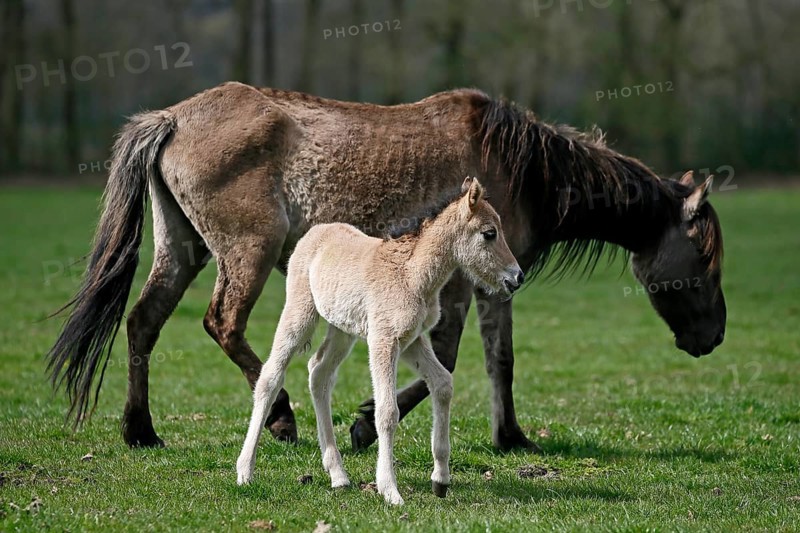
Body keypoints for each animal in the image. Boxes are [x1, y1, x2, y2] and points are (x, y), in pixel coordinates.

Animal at [46, 83, 726, 453]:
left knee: (143, 323)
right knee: (224, 324)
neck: (522, 169)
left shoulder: (496, 287)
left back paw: (141, 430)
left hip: (181, 249)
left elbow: (498, 361)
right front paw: (367, 425)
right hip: (250, 253)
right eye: (705, 257)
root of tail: (173, 117)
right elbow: (443, 361)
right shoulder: (459, 286)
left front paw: (511, 438)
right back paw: (283, 416)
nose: (713, 335)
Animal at [236, 178, 523, 505]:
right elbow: (387, 411)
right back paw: (245, 471)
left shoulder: (412, 339)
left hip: (343, 329)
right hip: (300, 312)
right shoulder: (383, 340)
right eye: (489, 233)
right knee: (271, 376)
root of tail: (316, 231)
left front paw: (440, 479)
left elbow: (443, 384)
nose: (517, 277)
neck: (413, 276)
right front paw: (390, 490)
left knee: (319, 371)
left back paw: (338, 475)